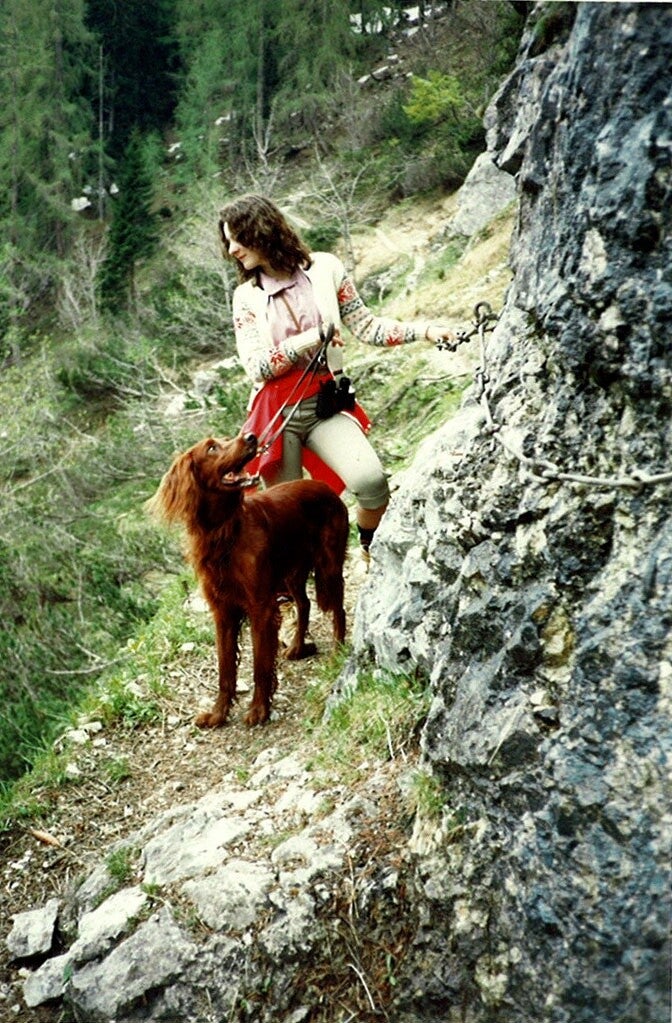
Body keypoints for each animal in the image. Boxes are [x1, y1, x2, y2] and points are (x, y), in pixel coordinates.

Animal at [147, 433, 348, 726]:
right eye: (212, 447)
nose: (252, 437)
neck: (224, 532)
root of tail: (324, 486)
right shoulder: (222, 611)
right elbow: (225, 669)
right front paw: (218, 714)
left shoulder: (260, 607)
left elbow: (260, 665)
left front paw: (258, 709)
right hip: (292, 573)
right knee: (305, 604)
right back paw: (298, 647)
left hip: (328, 565)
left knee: (338, 610)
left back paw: (338, 650)